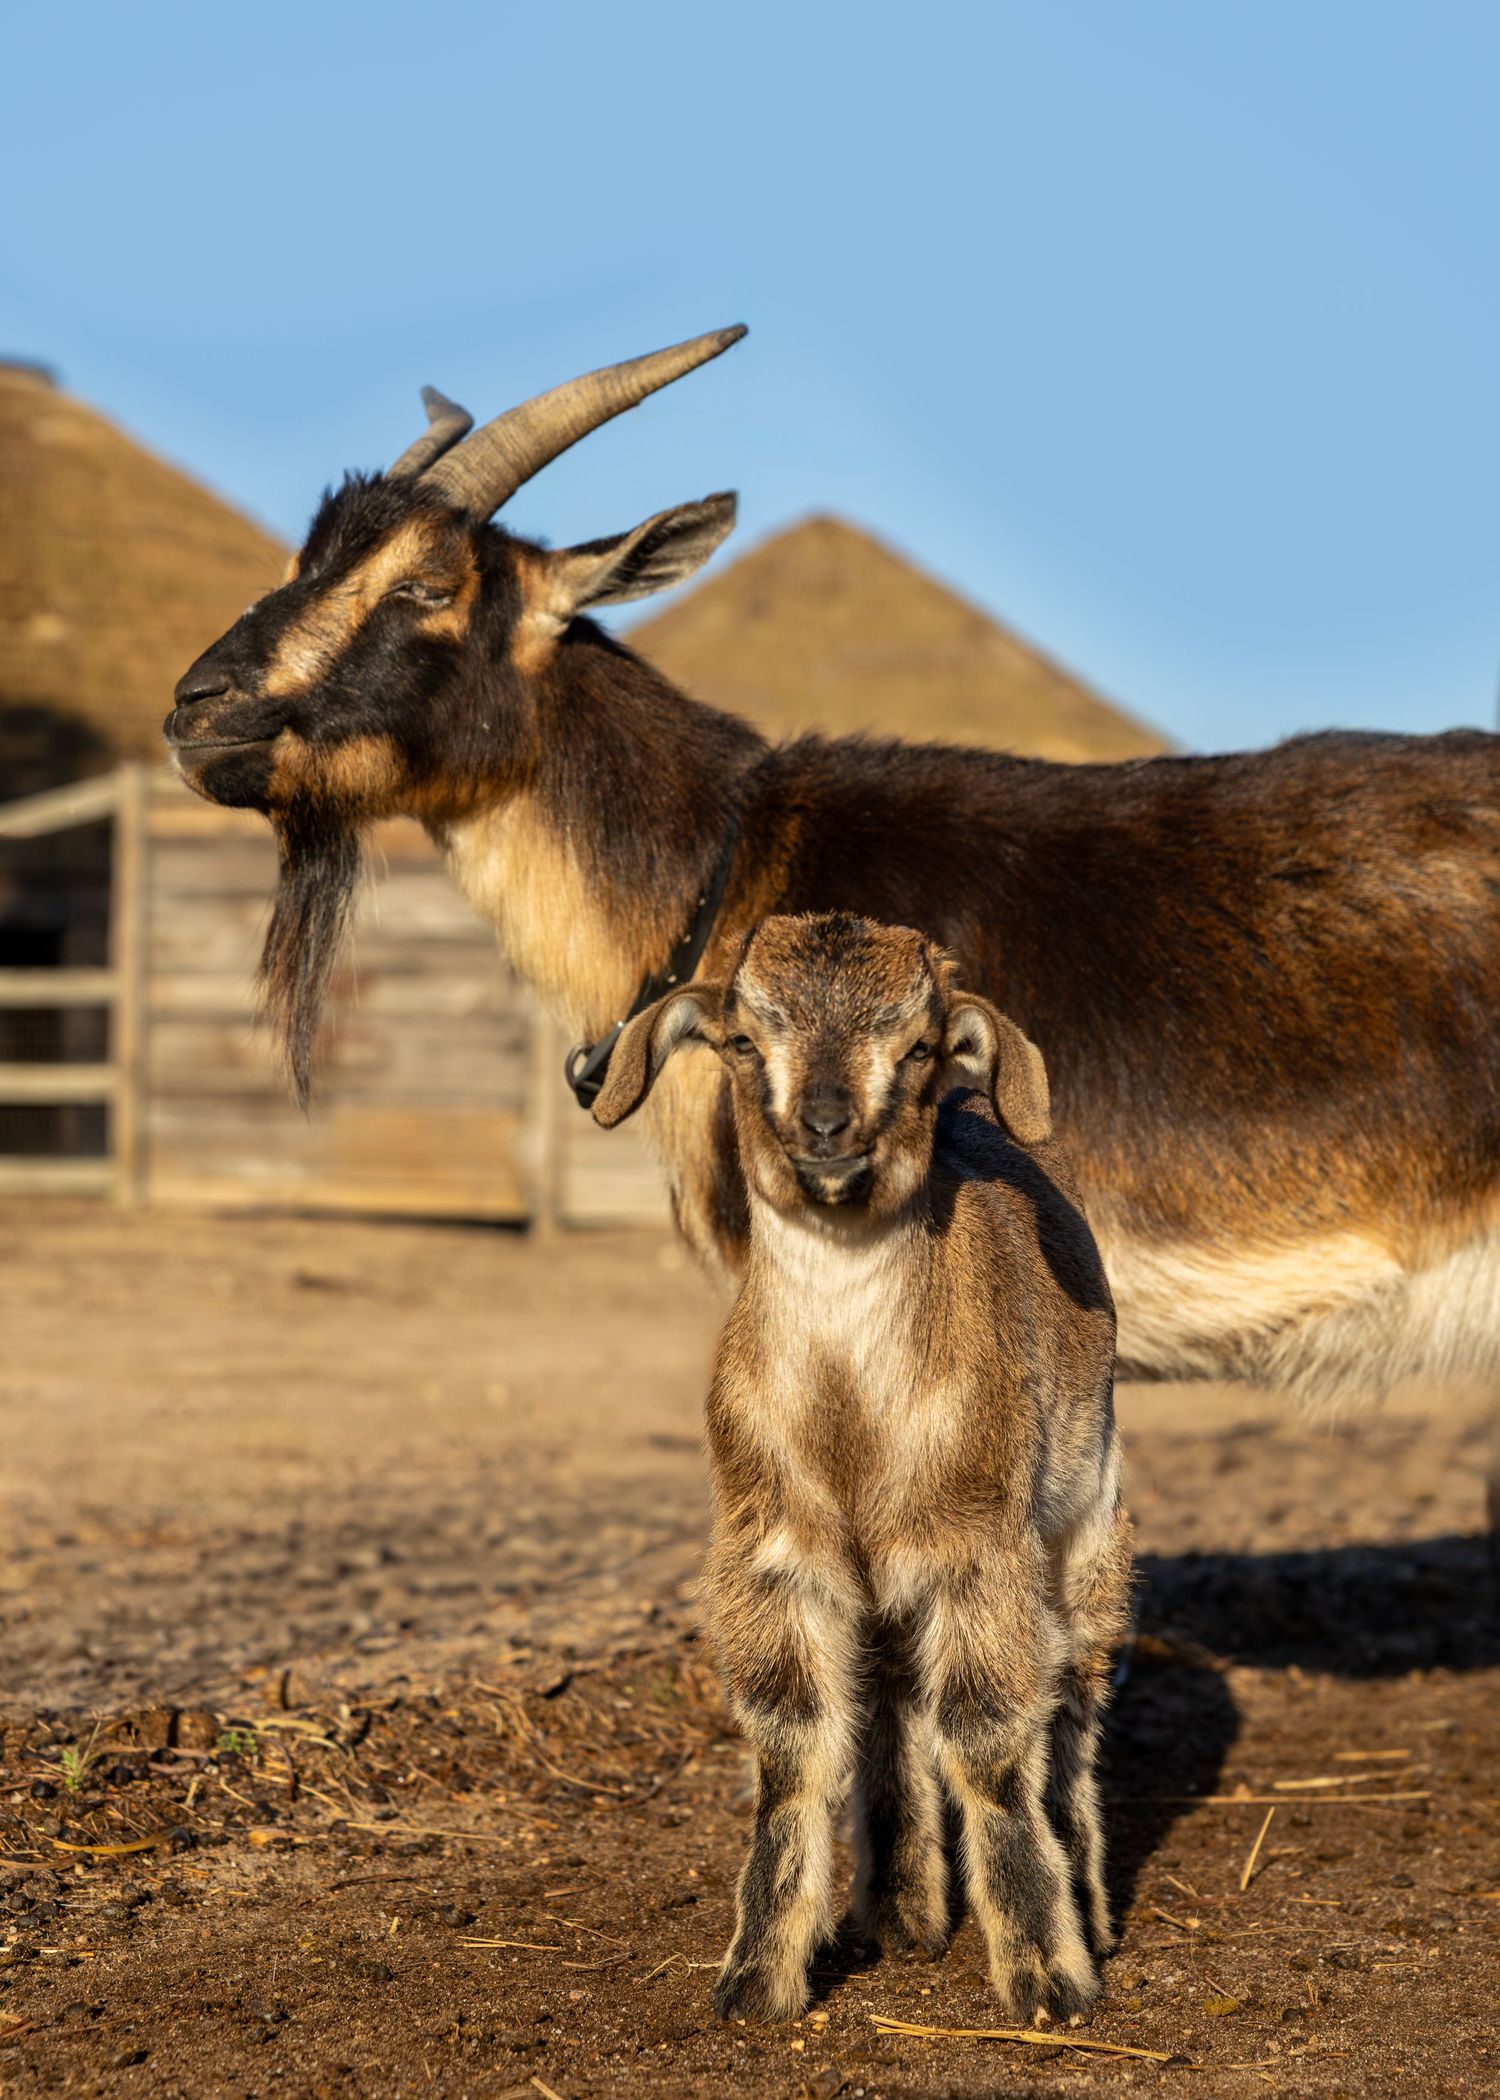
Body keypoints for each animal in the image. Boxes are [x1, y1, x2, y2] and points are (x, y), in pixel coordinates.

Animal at [591, 912, 1129, 2022]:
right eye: (743, 1041)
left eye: (917, 1046)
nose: (828, 1128)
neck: (852, 1418)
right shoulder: (772, 1551)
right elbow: (794, 1750)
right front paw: (757, 1976)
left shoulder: (982, 1550)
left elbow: (990, 1743)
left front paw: (1047, 1979)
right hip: (885, 1583)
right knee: (889, 1697)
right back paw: (901, 1909)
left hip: (1088, 1523)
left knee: (1073, 1696)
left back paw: (1088, 1906)